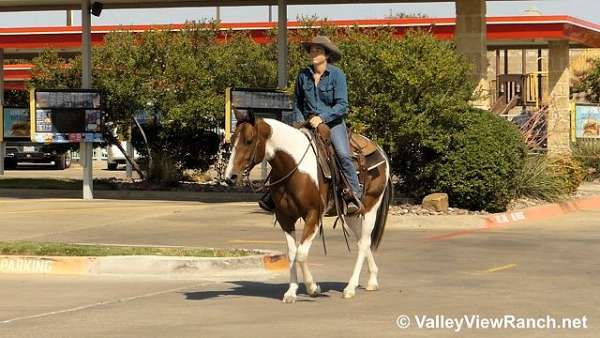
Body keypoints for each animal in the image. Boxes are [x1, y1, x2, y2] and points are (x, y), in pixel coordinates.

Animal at [225, 117, 394, 302]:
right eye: (231, 140)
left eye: (249, 141)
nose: (230, 177)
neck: (294, 167)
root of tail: (380, 151)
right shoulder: (285, 218)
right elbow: (292, 253)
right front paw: (291, 292)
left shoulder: (313, 216)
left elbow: (301, 254)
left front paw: (313, 288)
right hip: (352, 214)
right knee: (363, 240)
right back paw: (372, 280)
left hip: (370, 208)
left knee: (363, 243)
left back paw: (350, 288)